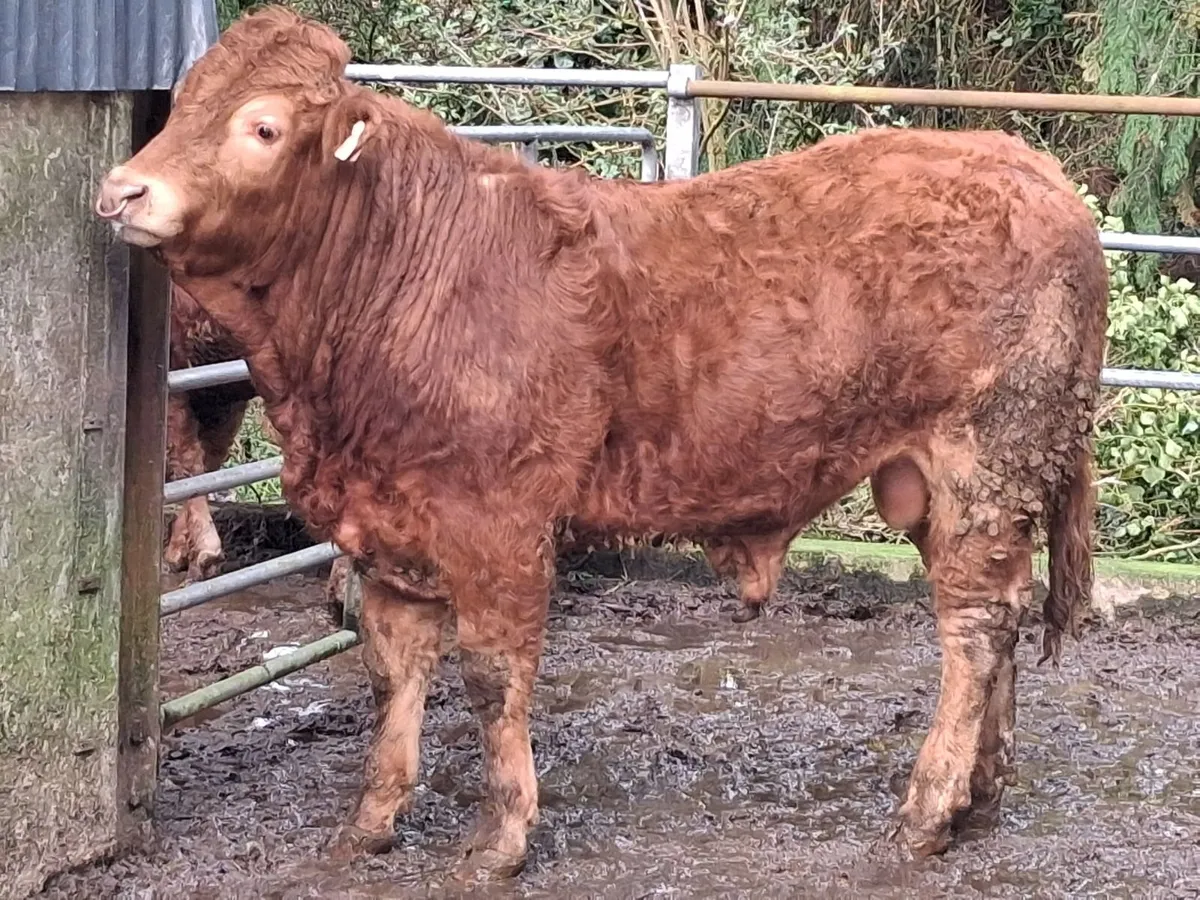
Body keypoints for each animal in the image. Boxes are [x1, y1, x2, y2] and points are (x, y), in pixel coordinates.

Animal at [95, 6, 1108, 882]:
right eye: (178, 108)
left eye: (262, 127)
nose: (120, 190)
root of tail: (1033, 169)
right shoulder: (388, 527)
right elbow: (394, 673)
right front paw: (372, 820)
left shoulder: (498, 527)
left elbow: (492, 678)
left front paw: (501, 837)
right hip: (960, 486)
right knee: (1003, 615)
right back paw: (981, 795)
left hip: (986, 459)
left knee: (973, 630)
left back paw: (928, 810)